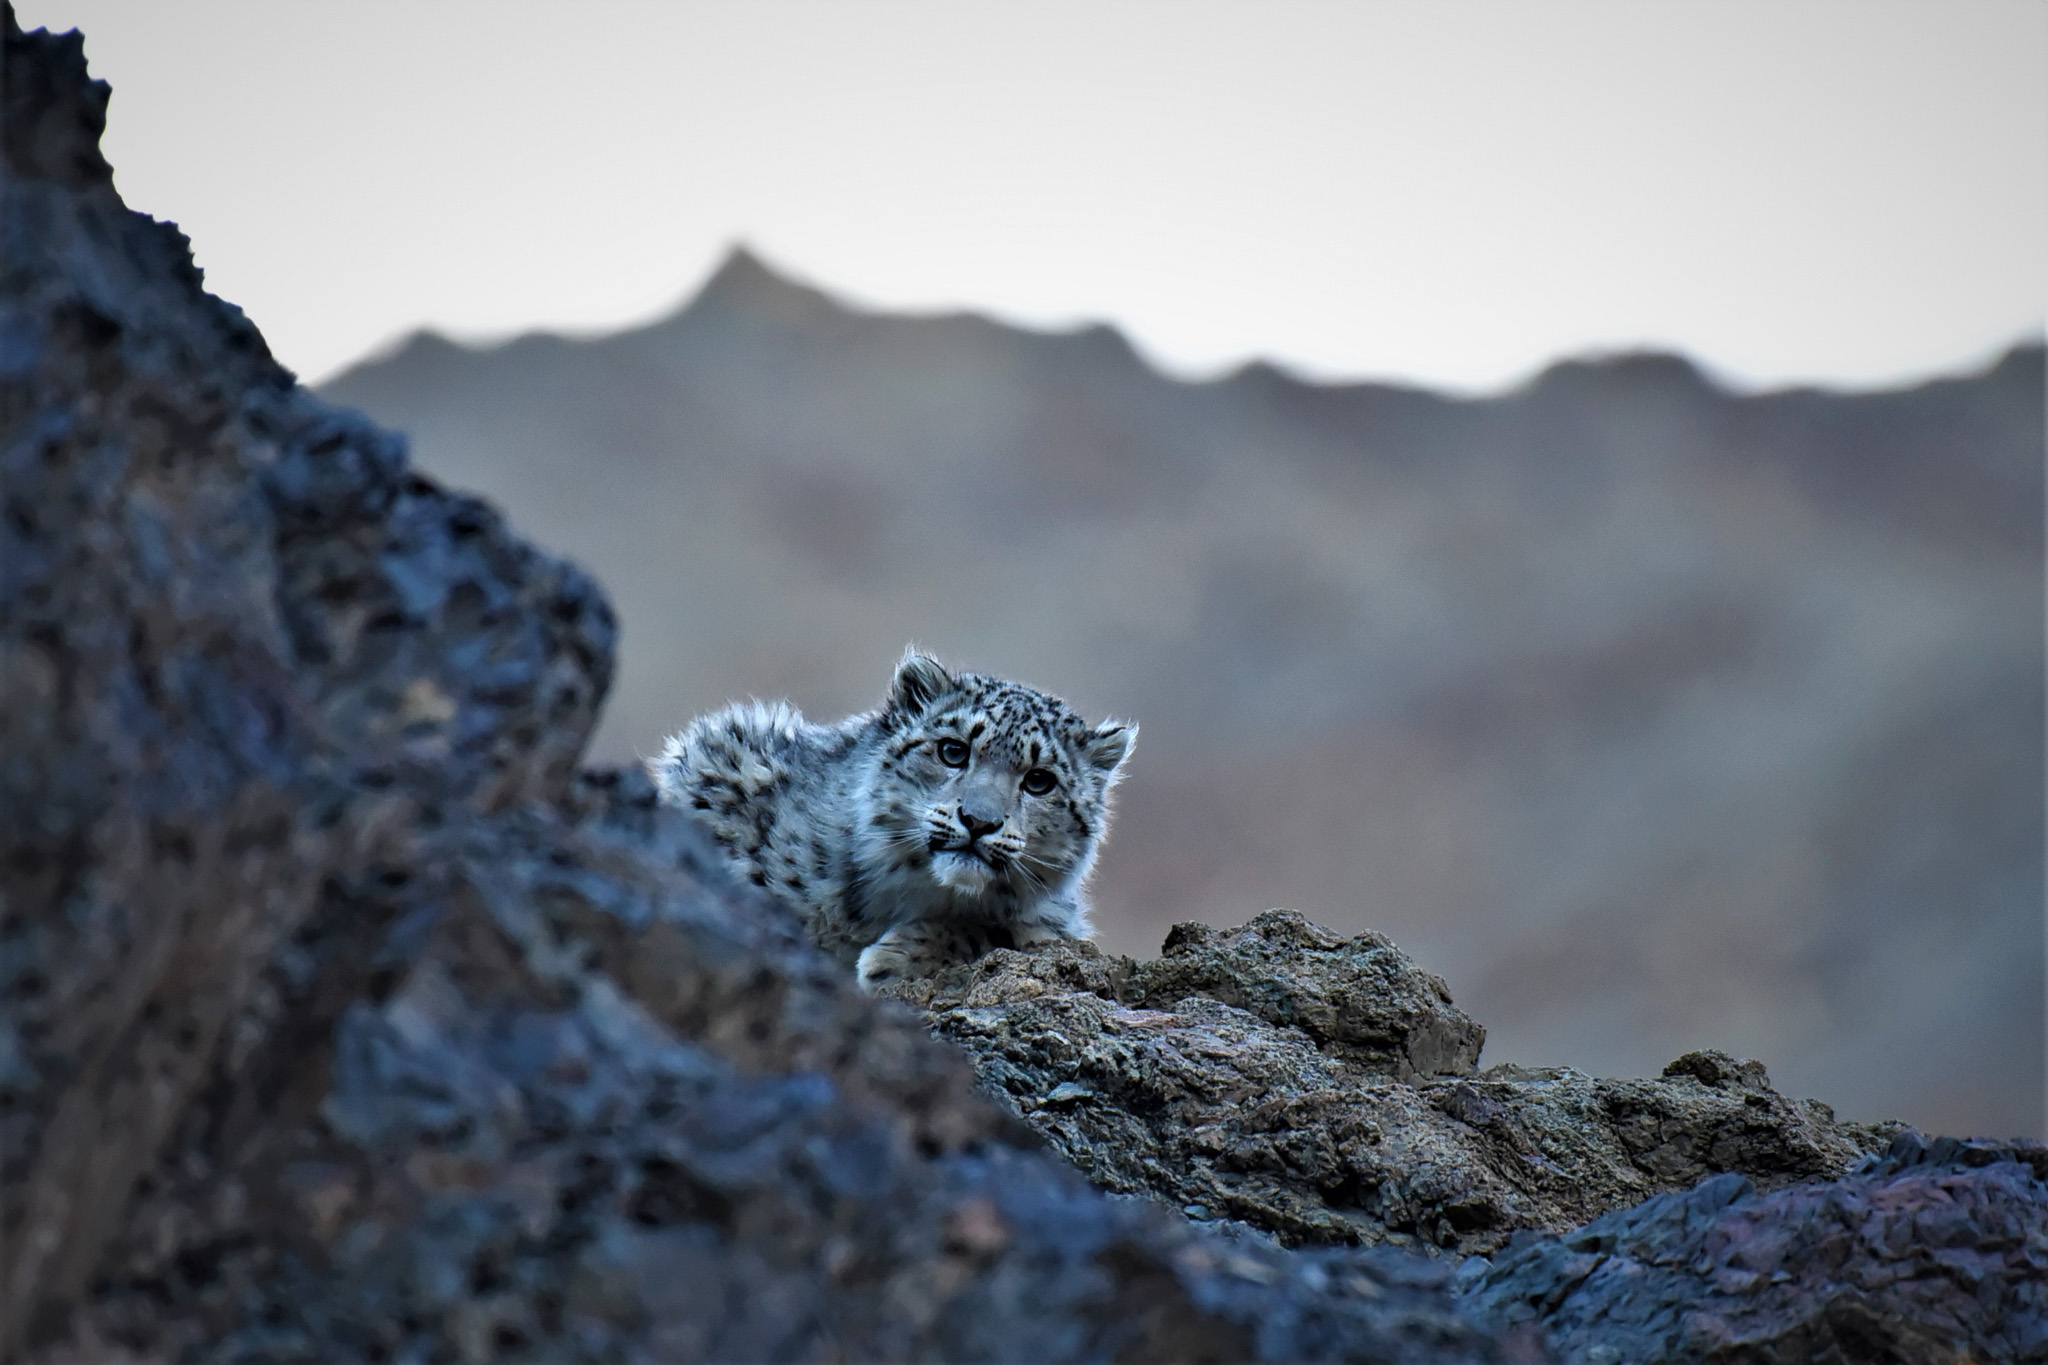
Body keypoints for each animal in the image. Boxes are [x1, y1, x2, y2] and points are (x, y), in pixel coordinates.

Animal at [647, 654, 1138, 994]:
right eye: (953, 750)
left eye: (1039, 780)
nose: (979, 821)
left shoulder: (1057, 926)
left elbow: (1004, 931)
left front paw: (895, 959)